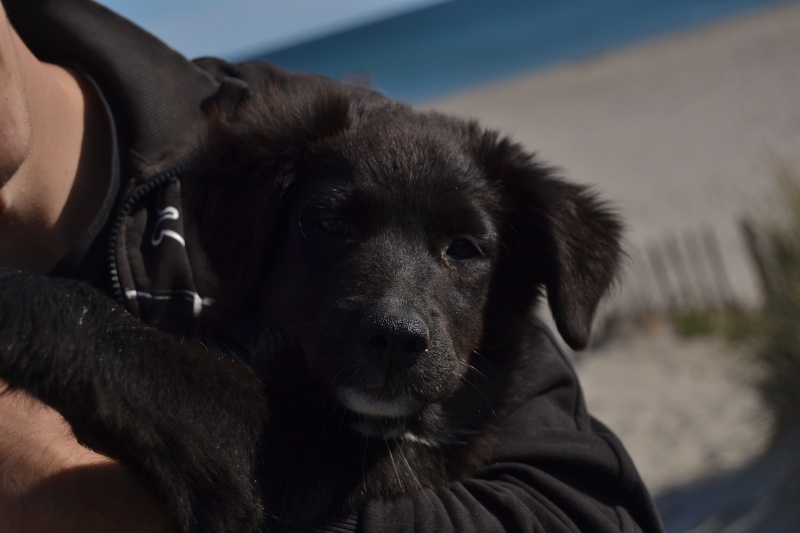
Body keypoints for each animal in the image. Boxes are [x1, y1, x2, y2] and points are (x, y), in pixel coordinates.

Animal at [0, 71, 620, 532]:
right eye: (328, 224)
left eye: (465, 248)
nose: (396, 340)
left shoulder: (284, 466)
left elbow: (144, 353)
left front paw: (19, 301)